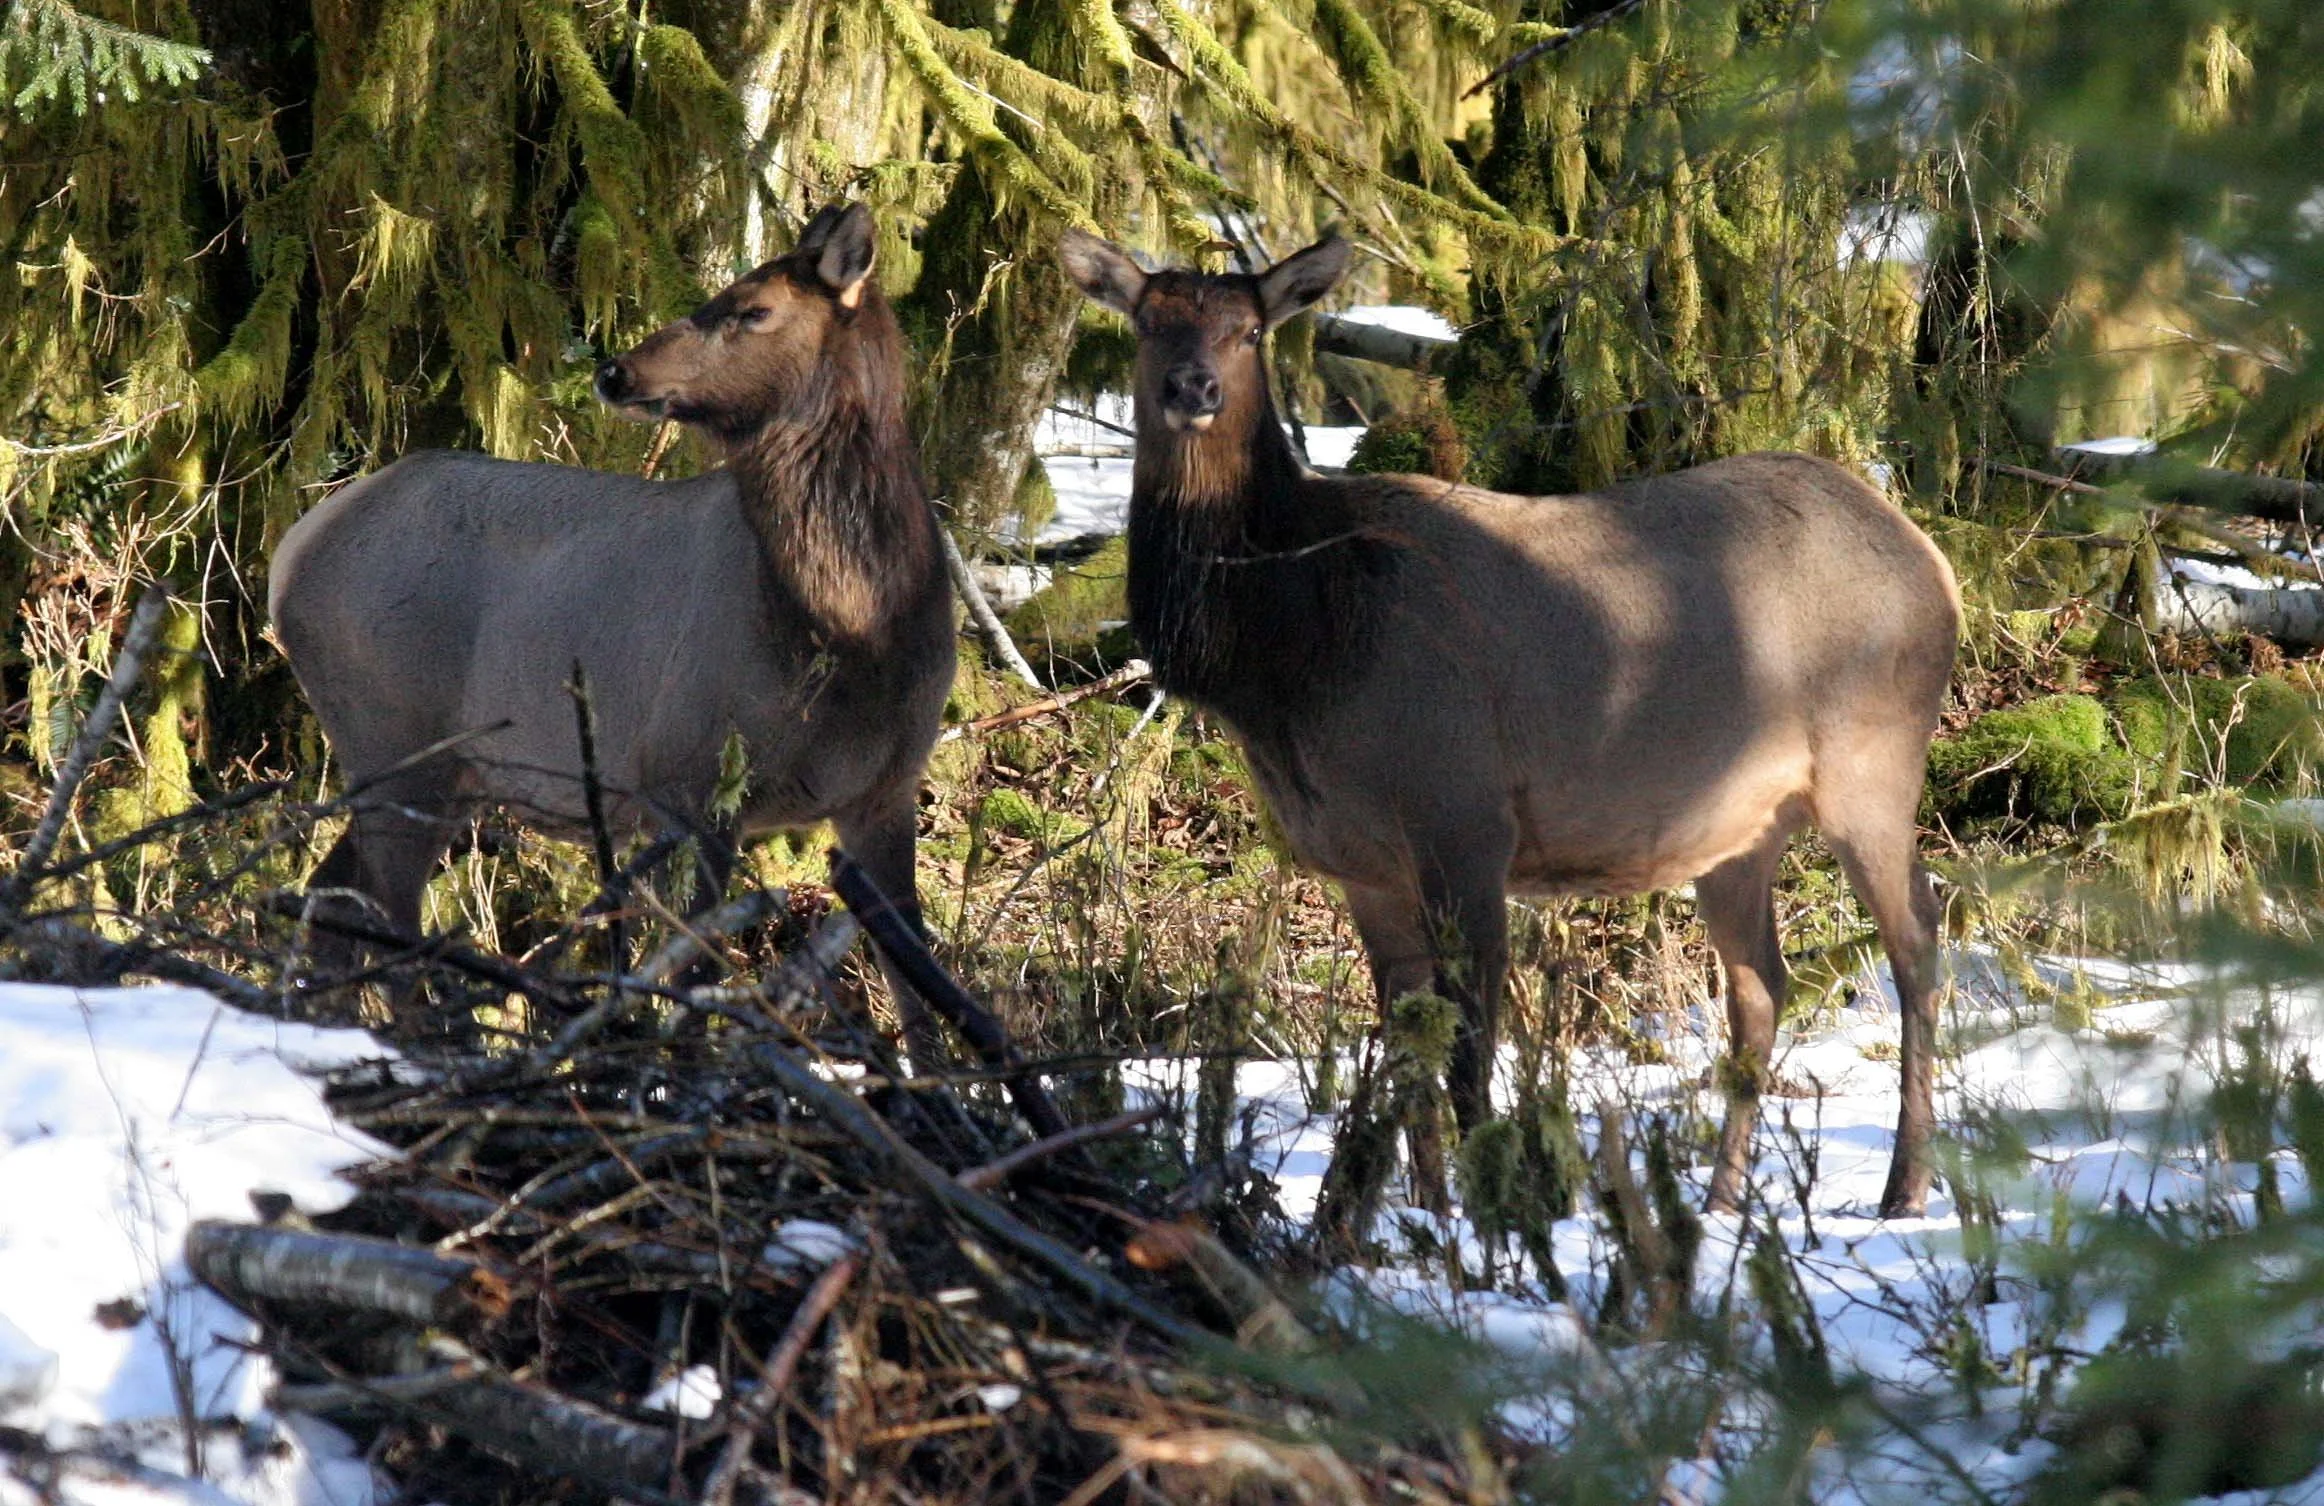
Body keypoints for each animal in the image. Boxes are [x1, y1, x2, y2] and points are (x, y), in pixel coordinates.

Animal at [270, 203, 956, 1050]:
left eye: (754, 309)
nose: (616, 372)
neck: (852, 632)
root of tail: (292, 552)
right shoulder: (686, 776)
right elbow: (690, 978)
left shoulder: (887, 789)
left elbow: (920, 995)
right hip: (393, 739)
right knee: (385, 925)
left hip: (438, 771)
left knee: (328, 905)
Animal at [1060, 228, 1962, 1218]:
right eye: (1148, 322)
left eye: (1251, 330)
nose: (1193, 388)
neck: (1292, 655)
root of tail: (1933, 563)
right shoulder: (1362, 863)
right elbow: (1406, 1044)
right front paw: (1425, 1213)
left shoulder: (1464, 818)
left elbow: (1467, 1050)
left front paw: (1497, 1211)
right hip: (1738, 825)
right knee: (1762, 984)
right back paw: (1724, 1200)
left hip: (1872, 759)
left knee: (1920, 945)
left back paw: (1904, 1189)